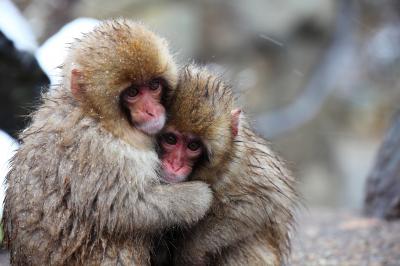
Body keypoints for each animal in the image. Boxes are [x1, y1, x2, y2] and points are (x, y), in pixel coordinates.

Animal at [2, 19, 212, 264]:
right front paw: (198, 198)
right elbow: (121, 208)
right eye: (133, 92)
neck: (97, 115)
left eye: (153, 86)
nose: (152, 111)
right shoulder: (96, 149)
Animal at [158, 65, 298, 266]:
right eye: (170, 139)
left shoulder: (239, 166)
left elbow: (259, 201)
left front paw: (190, 252)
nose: (174, 165)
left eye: (193, 146)